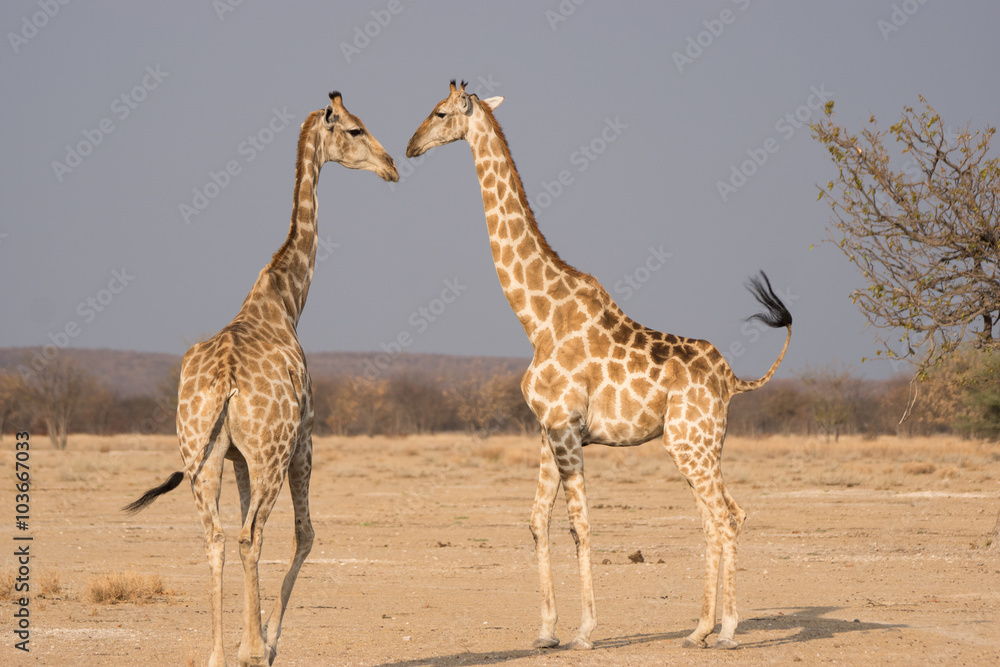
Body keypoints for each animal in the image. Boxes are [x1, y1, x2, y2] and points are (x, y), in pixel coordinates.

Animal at [123, 92, 397, 667]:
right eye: (356, 130)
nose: (392, 166)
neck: (283, 300)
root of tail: (225, 381)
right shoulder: (304, 439)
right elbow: (305, 535)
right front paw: (265, 643)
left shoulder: (236, 457)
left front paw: (246, 642)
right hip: (272, 454)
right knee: (254, 535)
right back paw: (249, 648)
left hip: (201, 455)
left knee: (217, 537)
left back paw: (216, 653)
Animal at [406, 81, 792, 651]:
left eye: (438, 112)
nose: (410, 147)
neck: (537, 318)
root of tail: (731, 378)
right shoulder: (547, 430)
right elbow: (537, 521)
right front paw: (546, 631)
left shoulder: (567, 430)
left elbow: (579, 525)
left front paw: (585, 631)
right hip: (702, 443)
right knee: (718, 517)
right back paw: (698, 628)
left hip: (689, 442)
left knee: (725, 515)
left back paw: (726, 631)